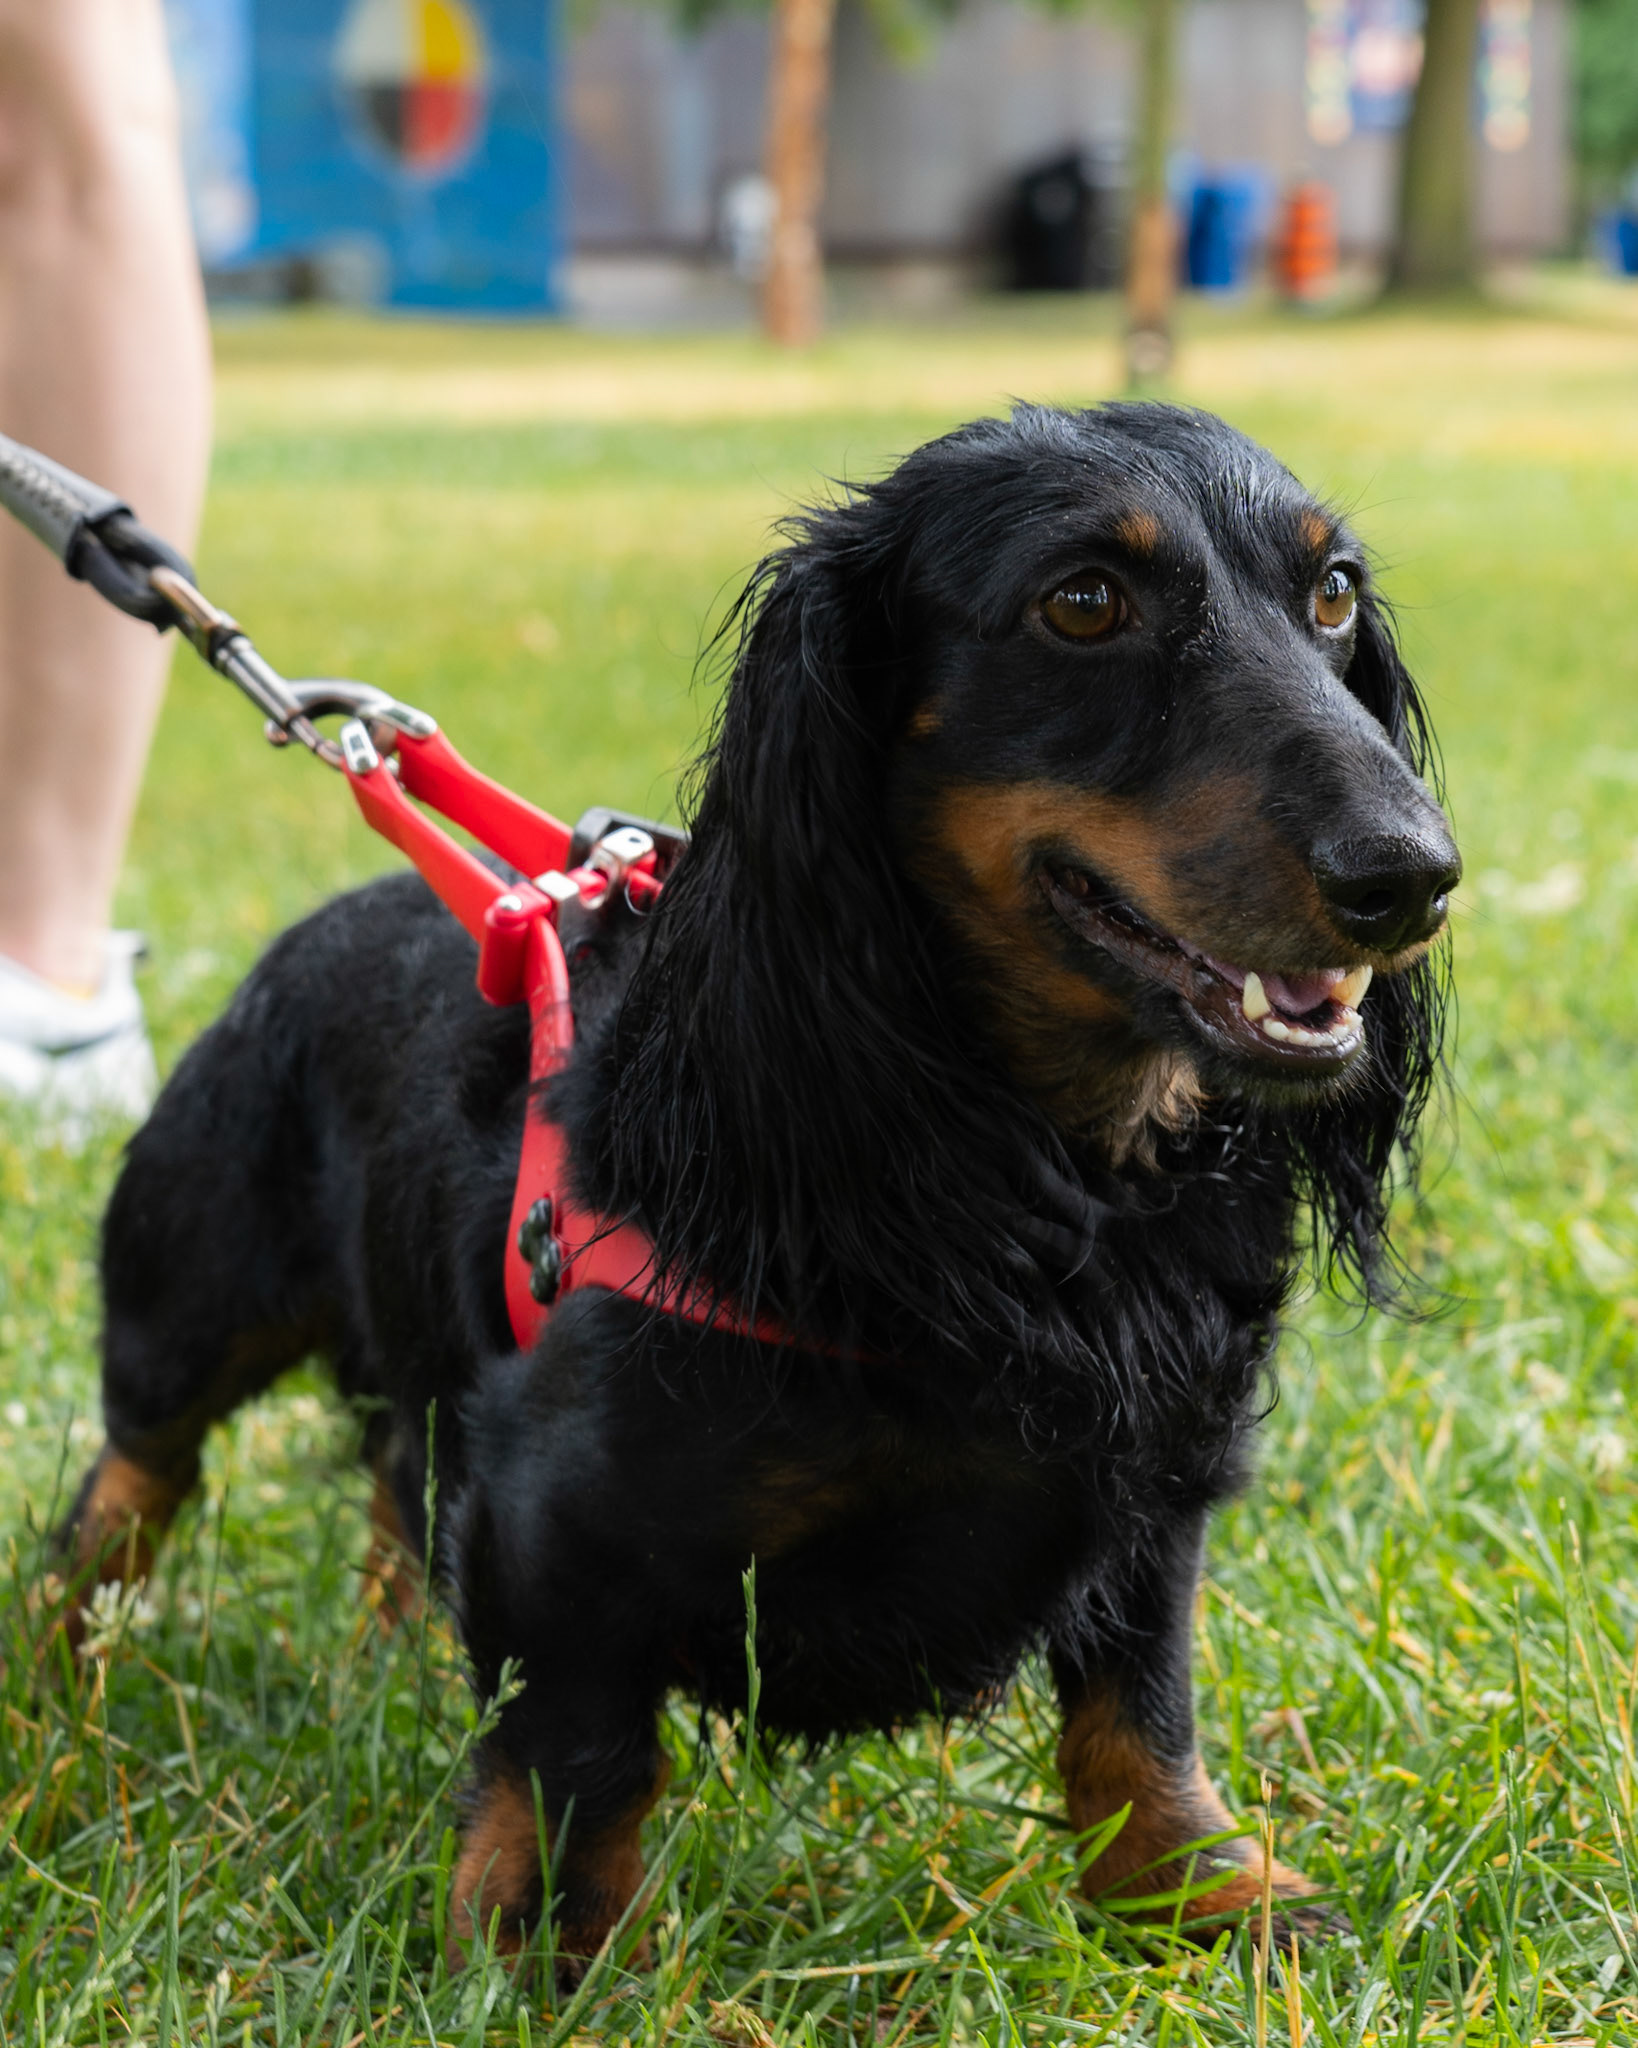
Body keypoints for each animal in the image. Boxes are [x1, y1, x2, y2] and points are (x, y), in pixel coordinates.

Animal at [58, 401, 1458, 1967]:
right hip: (189, 1297)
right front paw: (542, 1949)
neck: (1019, 1162)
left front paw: (1195, 1888)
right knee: (128, 1484)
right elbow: (579, 1754)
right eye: (1084, 601)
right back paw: (62, 1673)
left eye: (1330, 593)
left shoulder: (1156, 1479)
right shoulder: (559, 1525)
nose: (1411, 878)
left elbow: (1137, 1702)